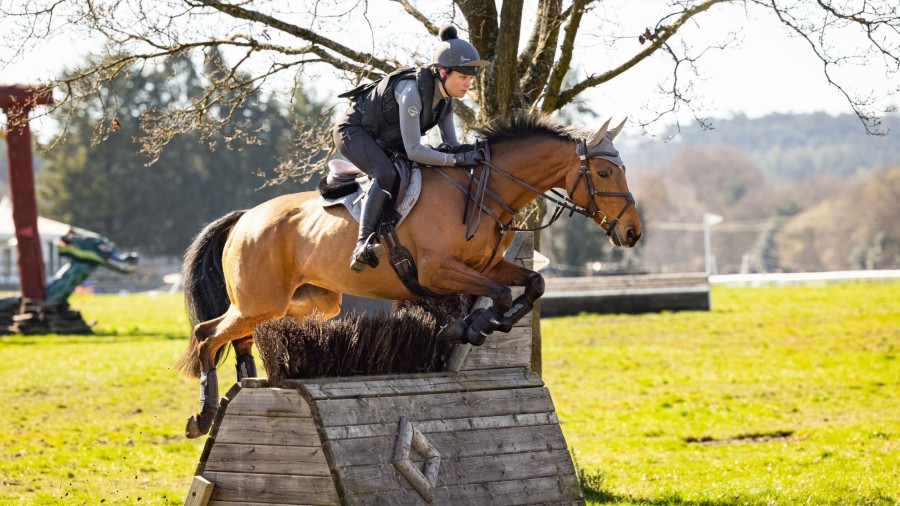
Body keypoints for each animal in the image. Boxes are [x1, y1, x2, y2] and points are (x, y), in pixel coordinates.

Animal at [176, 110, 640, 438]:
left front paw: (483, 325)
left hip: (308, 302)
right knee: (206, 334)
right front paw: (470, 327)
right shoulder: (438, 271)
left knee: (238, 335)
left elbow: (533, 284)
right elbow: (499, 294)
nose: (632, 232)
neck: (484, 192)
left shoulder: (487, 265)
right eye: (603, 172)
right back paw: (203, 415)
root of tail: (245, 218)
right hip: (260, 300)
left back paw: (242, 387)